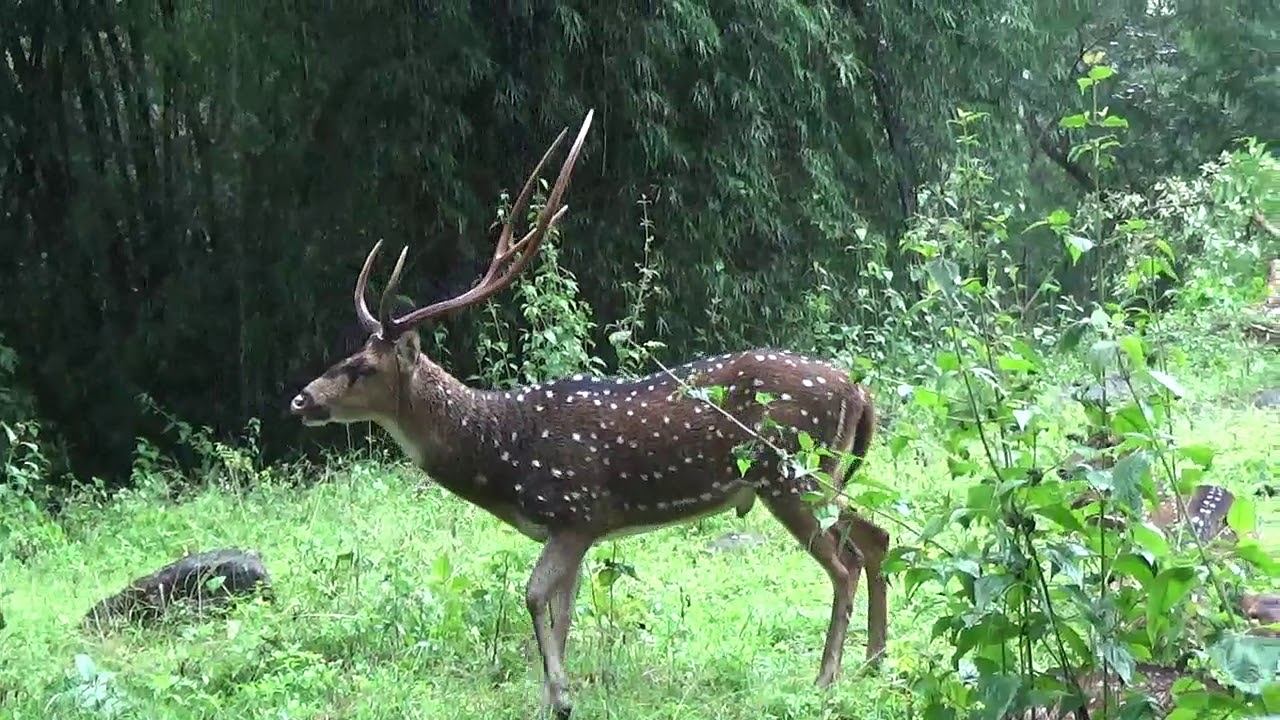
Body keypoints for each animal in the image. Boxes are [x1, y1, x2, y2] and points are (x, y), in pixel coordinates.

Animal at [290, 109, 890, 712]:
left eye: (363, 368)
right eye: (348, 354)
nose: (302, 399)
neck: (503, 454)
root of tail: (859, 393)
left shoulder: (577, 509)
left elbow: (534, 596)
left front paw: (560, 697)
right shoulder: (578, 529)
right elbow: (564, 608)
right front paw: (554, 696)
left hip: (788, 470)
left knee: (845, 563)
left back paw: (826, 677)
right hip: (824, 473)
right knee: (876, 535)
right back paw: (874, 661)